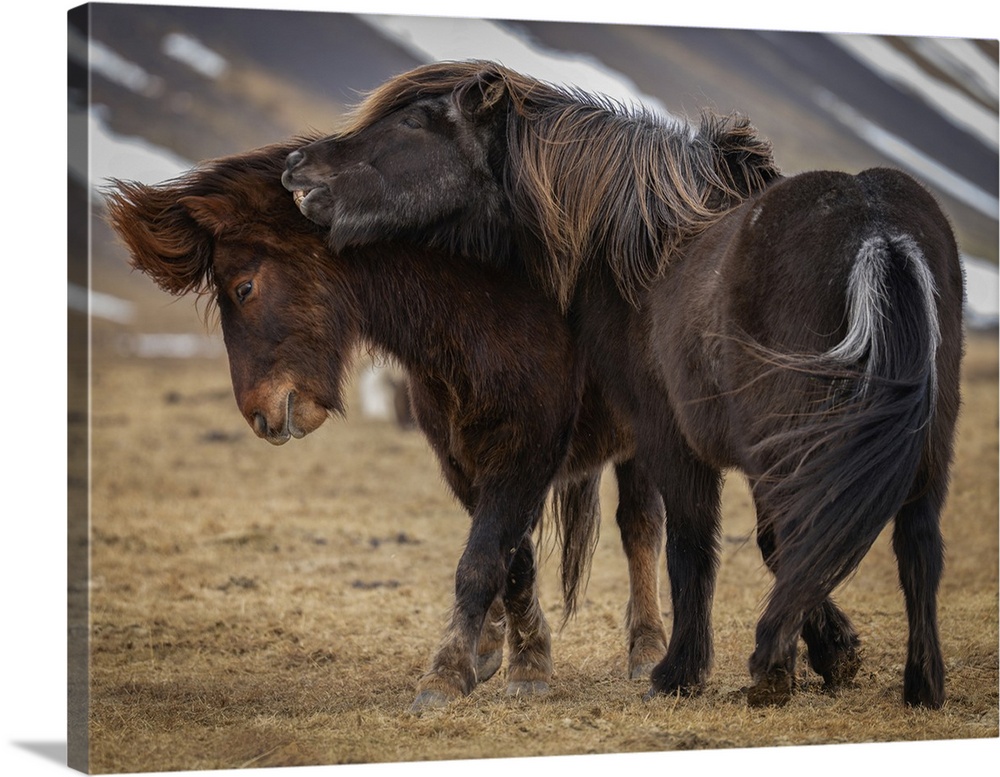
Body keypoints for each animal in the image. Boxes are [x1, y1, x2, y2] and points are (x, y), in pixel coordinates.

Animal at [104, 139, 673, 713]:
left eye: (244, 287)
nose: (261, 415)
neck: (492, 306)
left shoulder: (528, 448)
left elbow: (483, 559)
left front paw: (450, 675)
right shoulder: (460, 455)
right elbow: (510, 559)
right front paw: (517, 657)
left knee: (640, 525)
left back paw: (647, 647)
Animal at [282, 60, 965, 708]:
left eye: (416, 121)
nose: (296, 168)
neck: (645, 244)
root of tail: (877, 232)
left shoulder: (657, 435)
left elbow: (697, 544)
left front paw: (689, 672)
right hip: (925, 443)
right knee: (919, 543)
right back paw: (921, 686)